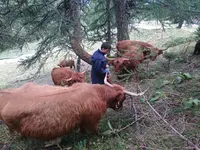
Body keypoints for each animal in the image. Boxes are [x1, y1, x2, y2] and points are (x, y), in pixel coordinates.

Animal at [0, 75, 145, 141]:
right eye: (123, 97)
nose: (120, 108)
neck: (98, 93)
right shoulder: (92, 120)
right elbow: (95, 131)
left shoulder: (83, 120)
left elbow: (82, 129)